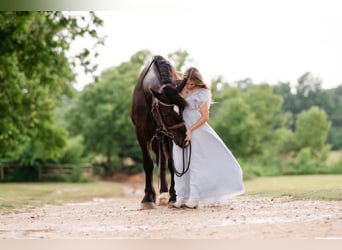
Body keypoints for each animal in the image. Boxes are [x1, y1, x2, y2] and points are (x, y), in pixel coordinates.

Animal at [130, 55, 188, 209]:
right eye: (167, 114)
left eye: (183, 109)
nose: (185, 139)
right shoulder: (141, 134)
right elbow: (148, 164)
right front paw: (147, 198)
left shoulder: (170, 136)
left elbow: (172, 164)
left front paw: (174, 196)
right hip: (158, 139)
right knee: (159, 162)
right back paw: (161, 194)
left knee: (164, 162)